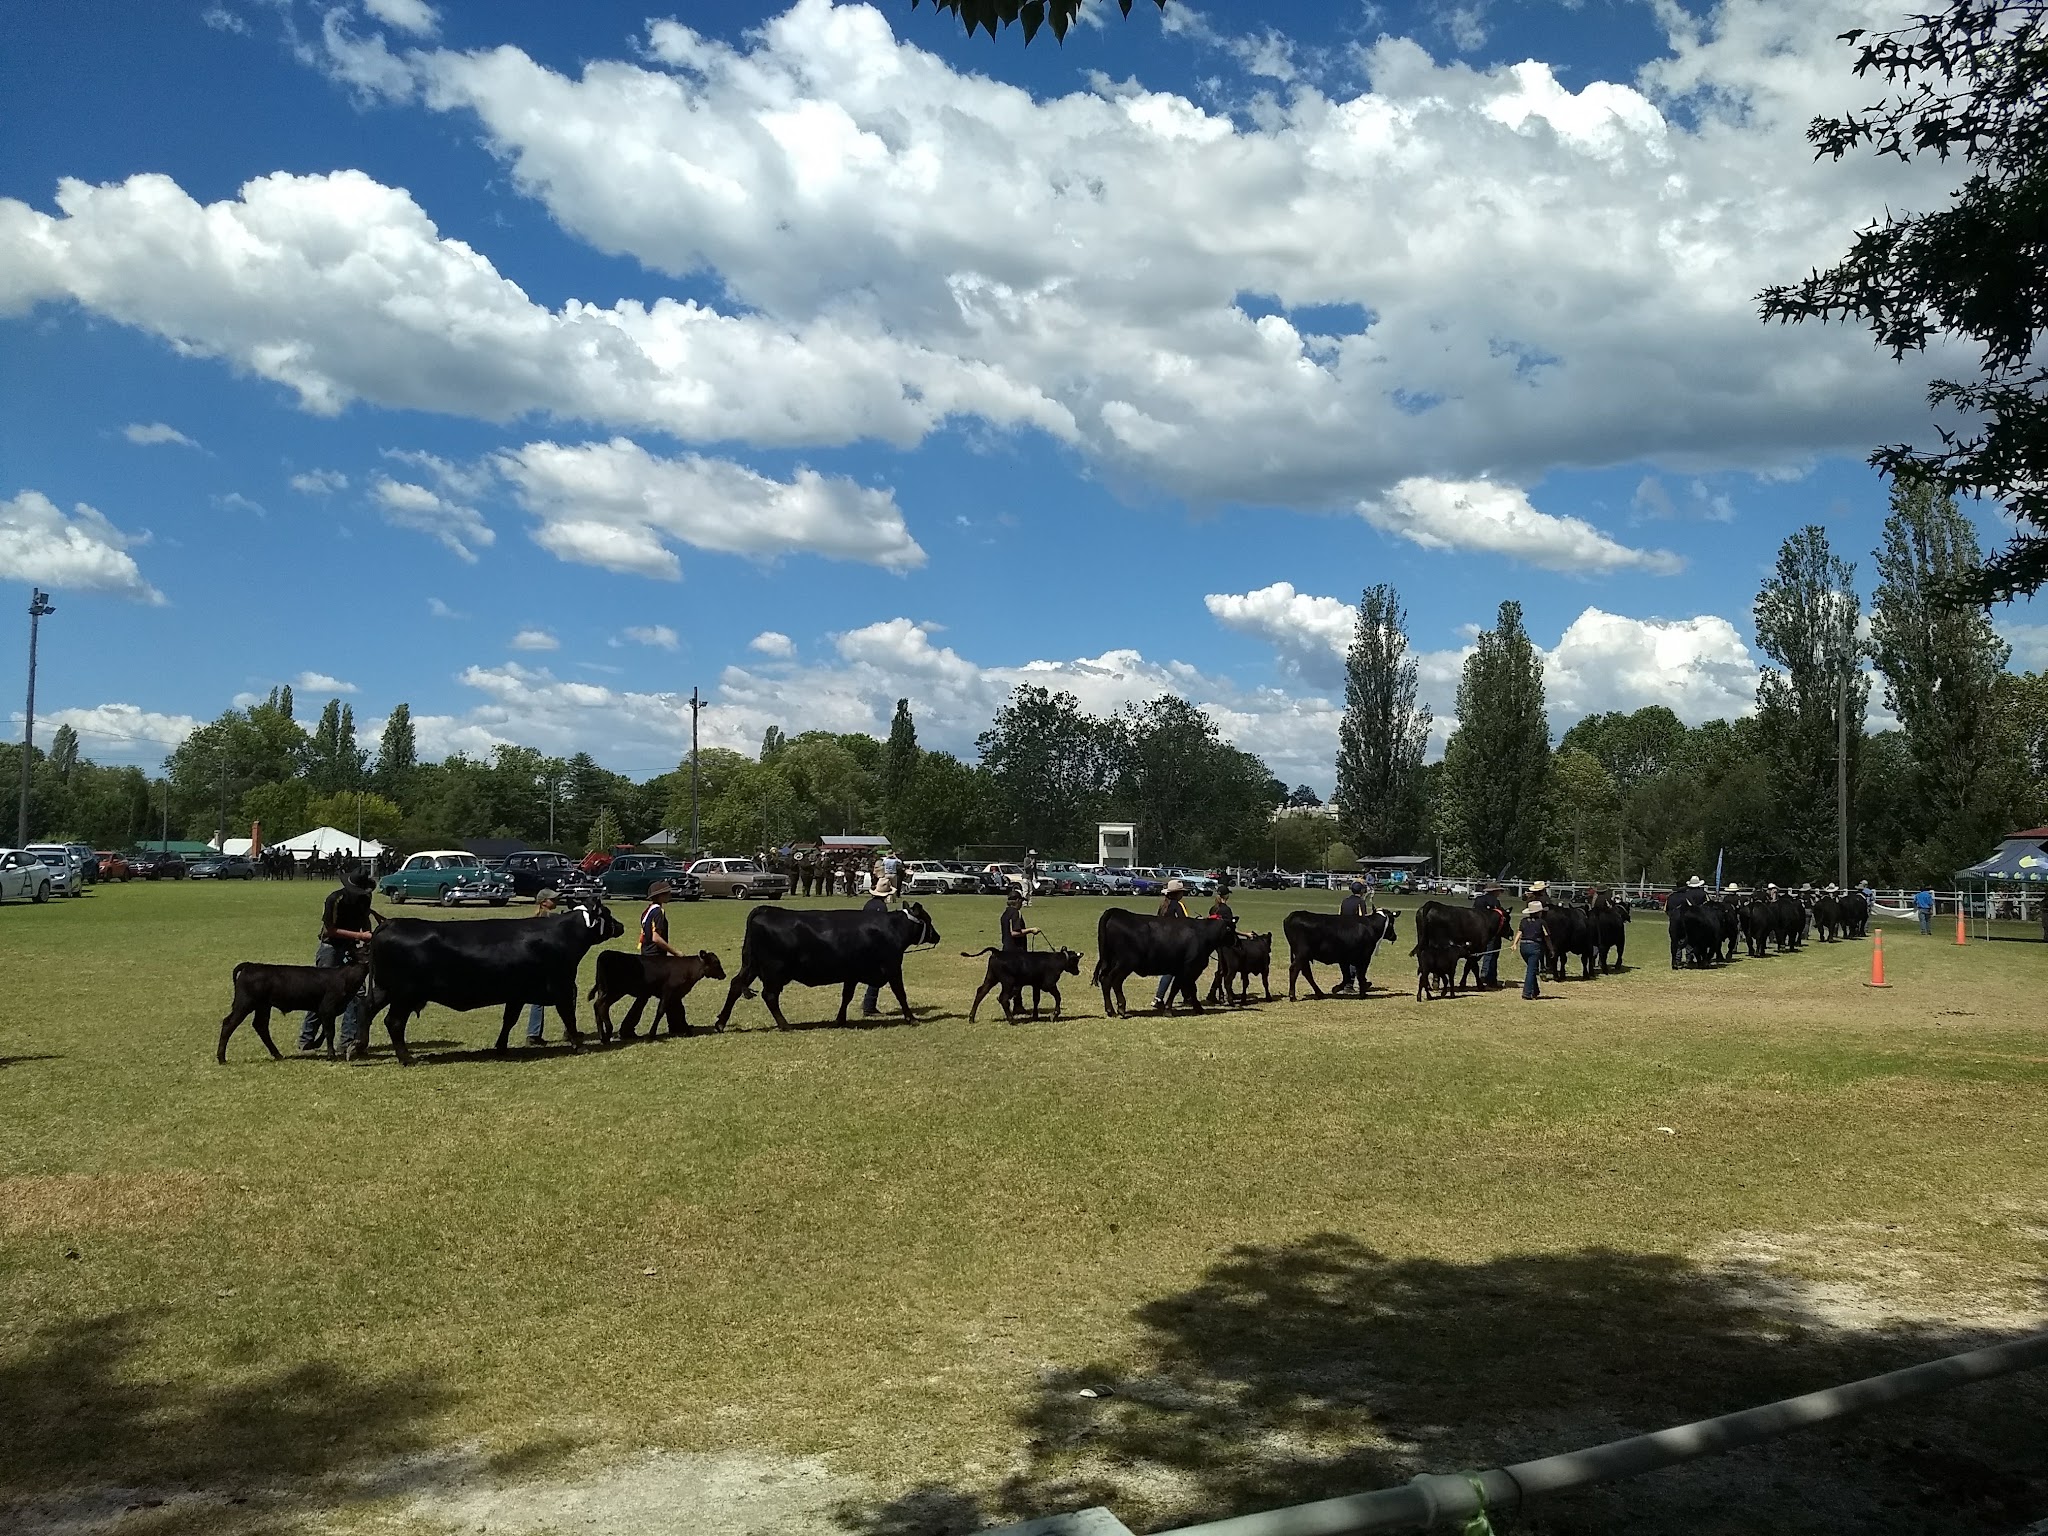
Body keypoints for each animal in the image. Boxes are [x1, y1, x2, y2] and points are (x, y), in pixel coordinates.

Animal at [217, 960, 367, 1062]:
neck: (344, 978)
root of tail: (250, 965)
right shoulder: (327, 1009)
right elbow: (329, 1032)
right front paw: (331, 1055)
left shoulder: (327, 1012)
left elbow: (325, 1032)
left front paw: (315, 1045)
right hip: (245, 1004)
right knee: (228, 1024)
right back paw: (221, 1058)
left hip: (263, 1006)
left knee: (260, 1026)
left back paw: (277, 1055)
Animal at [362, 903, 626, 1063]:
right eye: (607, 913)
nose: (621, 926)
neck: (563, 936)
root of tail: (390, 922)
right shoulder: (562, 988)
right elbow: (569, 1018)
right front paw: (579, 1045)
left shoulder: (517, 994)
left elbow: (509, 1020)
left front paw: (500, 1047)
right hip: (404, 994)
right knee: (393, 1022)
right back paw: (407, 1058)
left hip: (384, 989)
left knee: (367, 1010)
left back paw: (358, 1047)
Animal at [589, 949, 726, 1041]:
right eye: (716, 962)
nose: (724, 975)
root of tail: (605, 953)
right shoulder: (668, 991)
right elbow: (661, 1011)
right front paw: (652, 1034)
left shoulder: (676, 995)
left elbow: (680, 1013)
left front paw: (688, 1030)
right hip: (613, 990)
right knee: (601, 1006)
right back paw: (607, 1032)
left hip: (605, 990)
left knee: (598, 1006)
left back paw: (602, 1036)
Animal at [711, 903, 941, 1030]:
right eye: (928, 920)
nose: (937, 936)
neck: (891, 927)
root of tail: (767, 909)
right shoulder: (892, 968)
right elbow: (901, 994)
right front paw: (912, 1018)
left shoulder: (851, 973)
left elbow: (846, 996)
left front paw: (840, 1020)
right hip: (774, 971)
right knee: (769, 996)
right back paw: (785, 1025)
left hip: (751, 966)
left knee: (735, 986)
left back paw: (721, 1023)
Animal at [1092, 908, 1238, 1017]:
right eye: (1231, 929)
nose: (1237, 942)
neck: (1203, 934)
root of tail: (1116, 912)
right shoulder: (1189, 968)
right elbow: (1180, 988)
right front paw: (1169, 1010)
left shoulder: (1183, 970)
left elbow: (1187, 988)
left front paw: (1197, 1008)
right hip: (1125, 963)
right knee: (1111, 981)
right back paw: (1118, 1009)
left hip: (1111, 961)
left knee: (1106, 979)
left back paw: (1112, 1010)